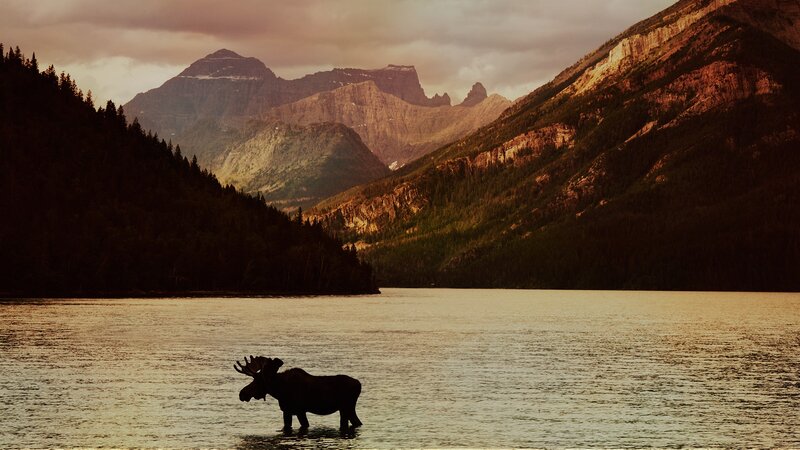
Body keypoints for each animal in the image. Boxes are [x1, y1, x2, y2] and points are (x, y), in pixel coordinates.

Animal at [234, 355, 363, 432]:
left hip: (347, 407)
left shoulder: (300, 411)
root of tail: (359, 385)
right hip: (346, 409)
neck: (279, 390)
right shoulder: (287, 411)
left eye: (257, 381)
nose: (242, 394)